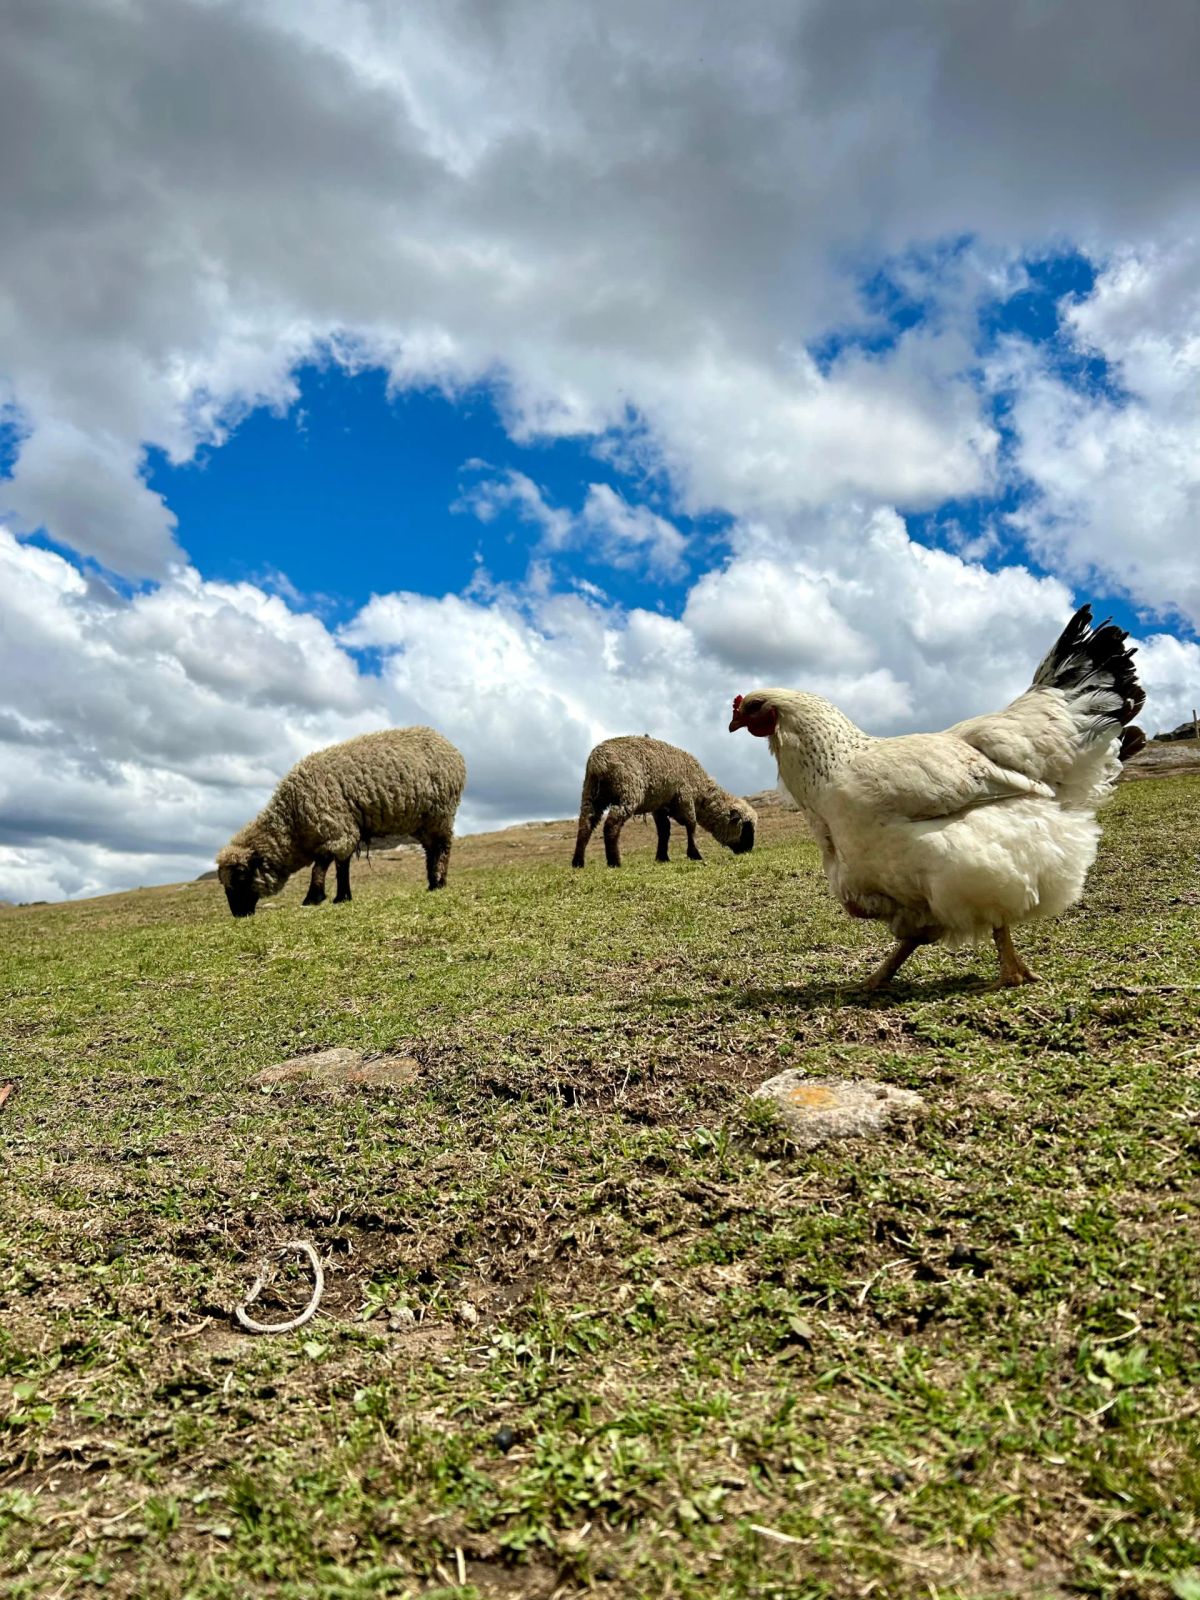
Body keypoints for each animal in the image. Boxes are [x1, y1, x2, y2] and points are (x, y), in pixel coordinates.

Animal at [216, 727, 466, 918]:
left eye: (241, 875)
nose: (238, 914)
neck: (292, 823)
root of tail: (451, 748)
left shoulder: (335, 829)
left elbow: (320, 866)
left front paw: (313, 898)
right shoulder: (343, 831)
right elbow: (341, 866)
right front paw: (342, 897)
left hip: (440, 813)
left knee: (443, 847)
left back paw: (439, 882)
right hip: (424, 821)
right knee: (431, 850)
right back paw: (432, 883)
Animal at [571, 735, 757, 868]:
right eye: (746, 828)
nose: (748, 851)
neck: (701, 794)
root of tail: (598, 761)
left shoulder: (660, 807)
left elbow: (664, 831)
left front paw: (662, 857)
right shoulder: (685, 798)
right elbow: (691, 826)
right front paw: (694, 854)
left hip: (590, 793)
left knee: (585, 825)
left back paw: (578, 862)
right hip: (627, 791)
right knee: (611, 824)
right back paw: (614, 861)